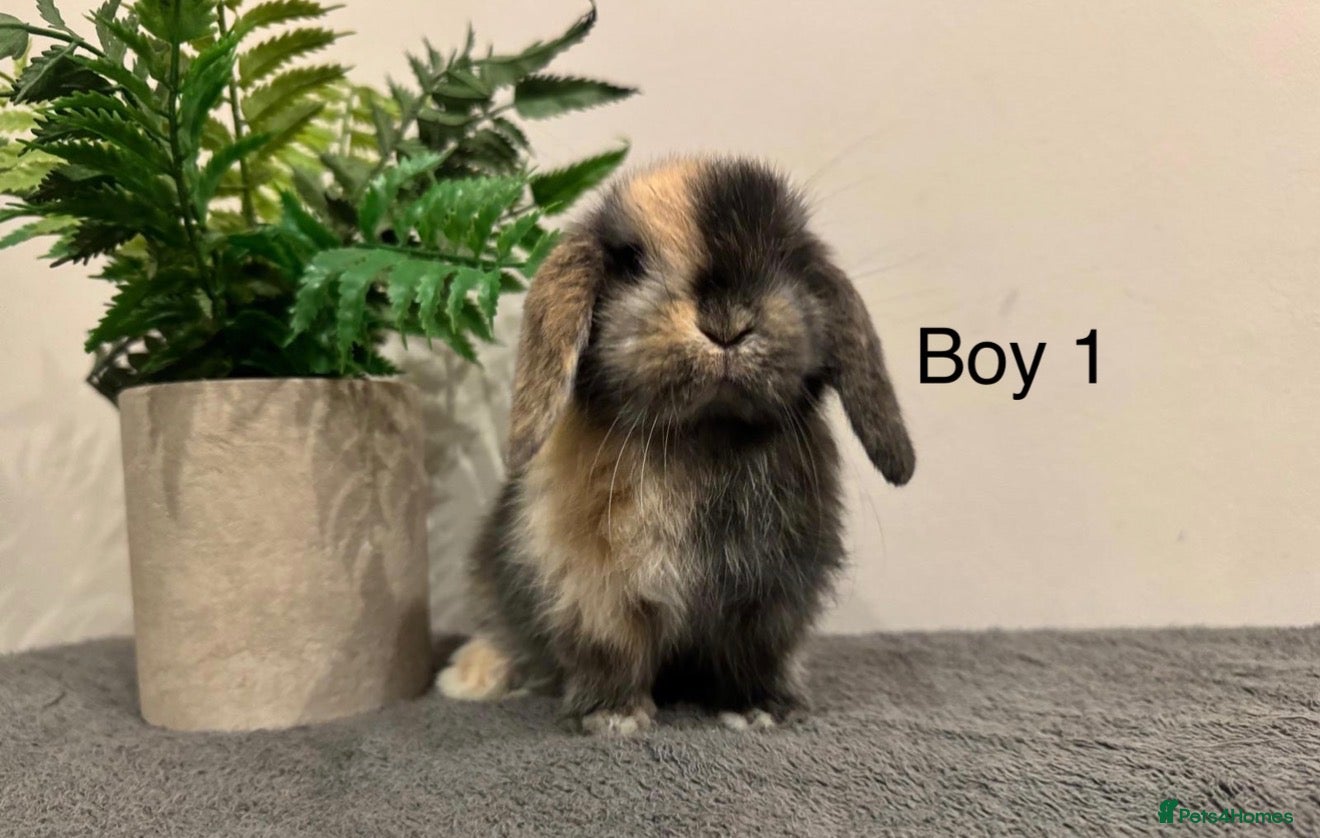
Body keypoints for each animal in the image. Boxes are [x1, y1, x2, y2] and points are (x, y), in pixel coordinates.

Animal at [436, 156, 915, 735]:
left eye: (787, 257)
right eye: (632, 262)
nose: (727, 322)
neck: (704, 434)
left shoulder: (769, 598)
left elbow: (756, 655)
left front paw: (760, 709)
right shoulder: (596, 591)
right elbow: (611, 653)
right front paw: (613, 717)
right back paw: (470, 678)